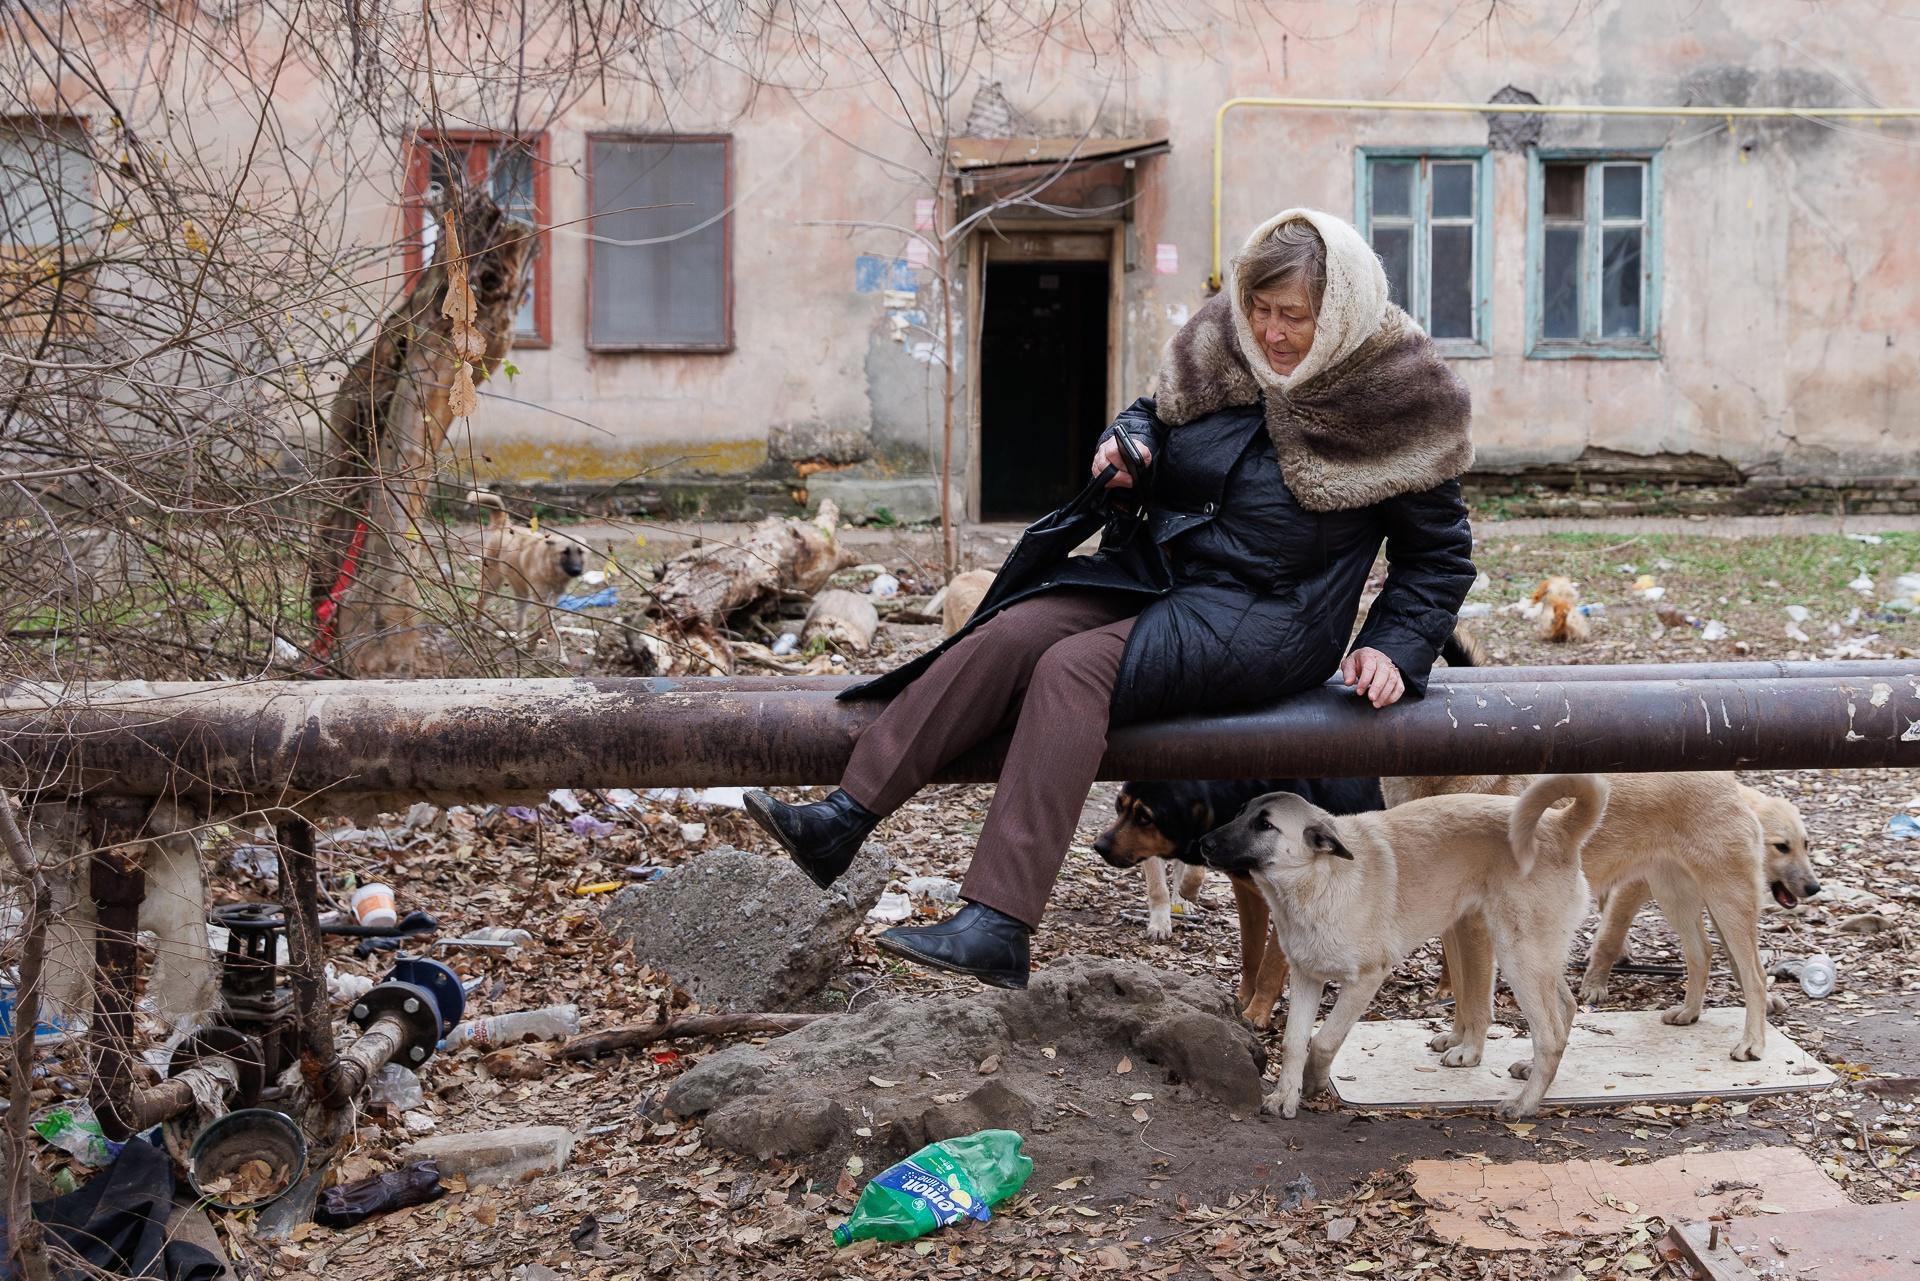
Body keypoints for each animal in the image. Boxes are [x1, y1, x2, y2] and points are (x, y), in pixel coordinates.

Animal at [466, 491, 583, 652]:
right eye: (565, 552)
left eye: (581, 552)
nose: (577, 570)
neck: (551, 567)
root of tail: (505, 525)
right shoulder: (541, 601)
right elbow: (551, 629)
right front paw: (558, 652)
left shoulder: (550, 602)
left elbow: (546, 626)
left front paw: (533, 643)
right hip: (492, 583)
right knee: (480, 602)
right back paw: (478, 628)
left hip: (521, 592)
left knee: (520, 618)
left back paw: (520, 640)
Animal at [1090, 772, 1390, 1029]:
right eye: (1119, 806)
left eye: (1145, 817)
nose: (1099, 847)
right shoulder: (1247, 892)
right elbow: (1251, 954)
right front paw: (1241, 1000)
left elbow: (1269, 966)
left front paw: (1256, 1013)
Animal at [1198, 772, 1605, 1121]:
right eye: (1240, 813)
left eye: (1265, 825)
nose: (1204, 842)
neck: (1321, 879)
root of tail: (1560, 825)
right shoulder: (1305, 977)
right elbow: (1293, 1042)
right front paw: (1285, 1097)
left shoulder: (1365, 980)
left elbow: (1324, 1040)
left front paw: (1313, 1082)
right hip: (1536, 955)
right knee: (1566, 1008)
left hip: (1518, 956)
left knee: (1549, 1034)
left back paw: (1524, 1105)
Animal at [1574, 783, 1812, 1021]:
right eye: (1782, 847)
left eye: (1806, 844)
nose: (1814, 887)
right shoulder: (1629, 890)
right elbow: (1609, 940)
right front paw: (1594, 985)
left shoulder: (1720, 903)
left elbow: (1735, 958)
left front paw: (1765, 1000)